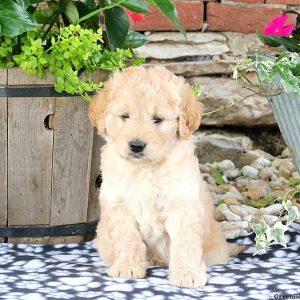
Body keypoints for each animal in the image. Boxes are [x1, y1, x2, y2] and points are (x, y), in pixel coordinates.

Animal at [88, 66, 238, 288]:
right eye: (125, 116)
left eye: (157, 119)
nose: (136, 145)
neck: (146, 168)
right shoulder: (118, 205)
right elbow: (128, 238)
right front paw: (128, 267)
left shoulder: (183, 205)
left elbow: (185, 243)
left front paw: (187, 275)